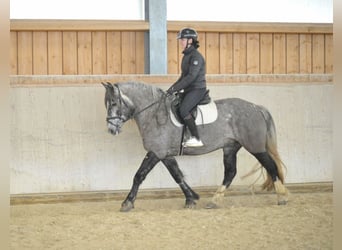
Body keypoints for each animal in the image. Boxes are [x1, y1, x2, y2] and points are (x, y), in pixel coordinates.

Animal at [102, 81, 288, 211]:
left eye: (114, 103)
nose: (111, 129)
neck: (153, 114)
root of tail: (256, 107)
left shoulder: (156, 152)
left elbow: (139, 175)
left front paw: (127, 203)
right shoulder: (165, 154)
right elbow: (177, 175)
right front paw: (191, 198)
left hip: (255, 147)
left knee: (271, 166)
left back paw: (282, 197)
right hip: (230, 147)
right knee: (230, 173)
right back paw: (214, 201)